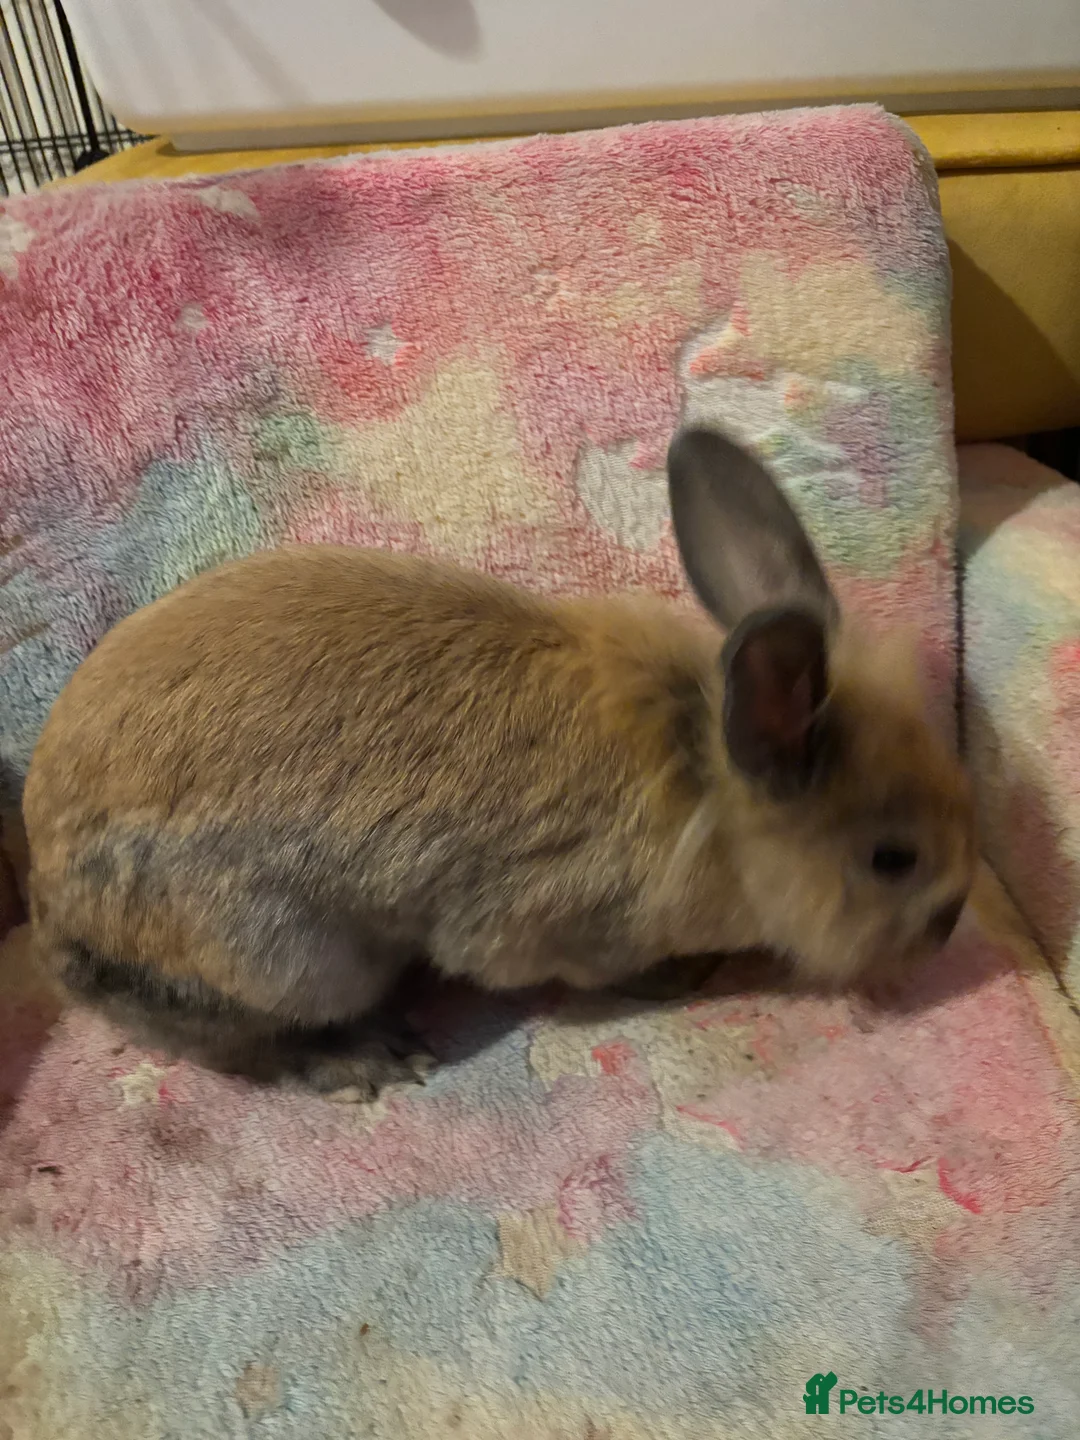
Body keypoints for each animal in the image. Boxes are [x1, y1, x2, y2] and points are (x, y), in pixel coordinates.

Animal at [21, 427, 975, 1099]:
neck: (705, 776)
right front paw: (676, 976)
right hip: (289, 949)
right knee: (253, 1039)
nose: (950, 927)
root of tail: (50, 902)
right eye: (891, 860)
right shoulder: (543, 924)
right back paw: (368, 1058)